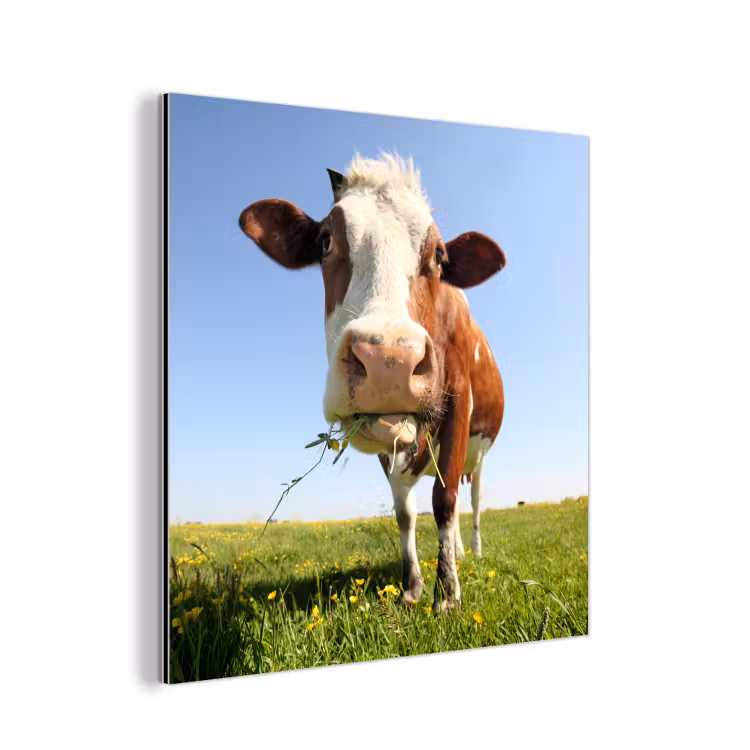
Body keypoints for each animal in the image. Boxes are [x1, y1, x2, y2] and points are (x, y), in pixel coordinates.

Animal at [239, 153, 505, 613]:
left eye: (439, 255)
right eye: (325, 242)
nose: (389, 361)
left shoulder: (458, 402)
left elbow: (444, 500)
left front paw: (448, 596)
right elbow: (405, 512)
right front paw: (413, 588)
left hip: (481, 453)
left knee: (469, 501)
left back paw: (472, 549)